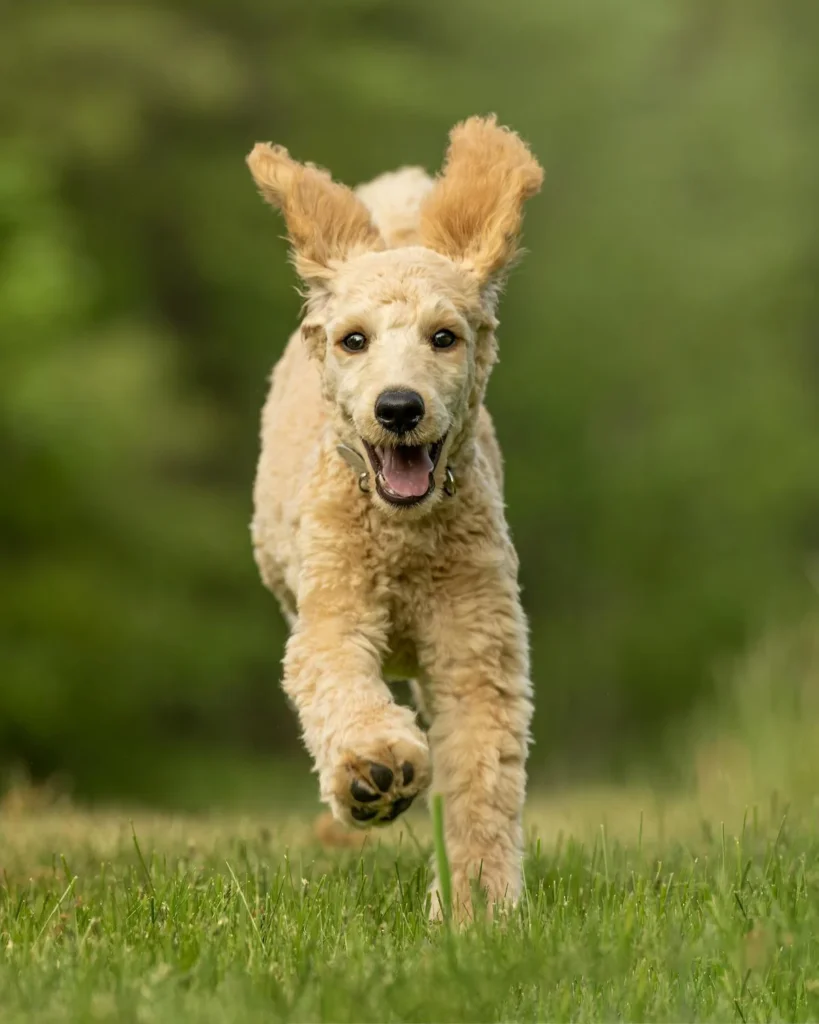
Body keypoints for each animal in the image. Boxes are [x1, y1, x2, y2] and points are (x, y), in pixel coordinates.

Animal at [246, 114, 548, 921]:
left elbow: (480, 778)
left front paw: (476, 913)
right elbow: (339, 686)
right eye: (354, 340)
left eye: (444, 336)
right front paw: (374, 770)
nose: (399, 408)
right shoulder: (331, 615)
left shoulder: (477, 646)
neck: (404, 537)